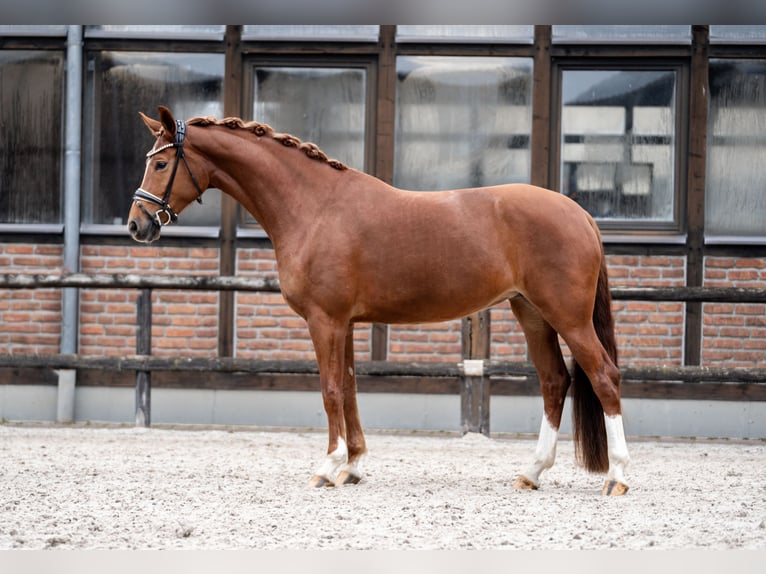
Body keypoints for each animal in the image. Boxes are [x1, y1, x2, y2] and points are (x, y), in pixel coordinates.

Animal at [127, 107, 632, 496]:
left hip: (568, 317)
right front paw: (351, 466)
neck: (315, 207)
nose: (137, 225)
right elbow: (349, 388)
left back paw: (618, 477)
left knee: (603, 376)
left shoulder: (325, 321)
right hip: (532, 314)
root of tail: (580, 213)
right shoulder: (346, 323)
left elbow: (330, 390)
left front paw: (326, 467)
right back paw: (531, 473)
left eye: (160, 163)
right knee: (554, 382)